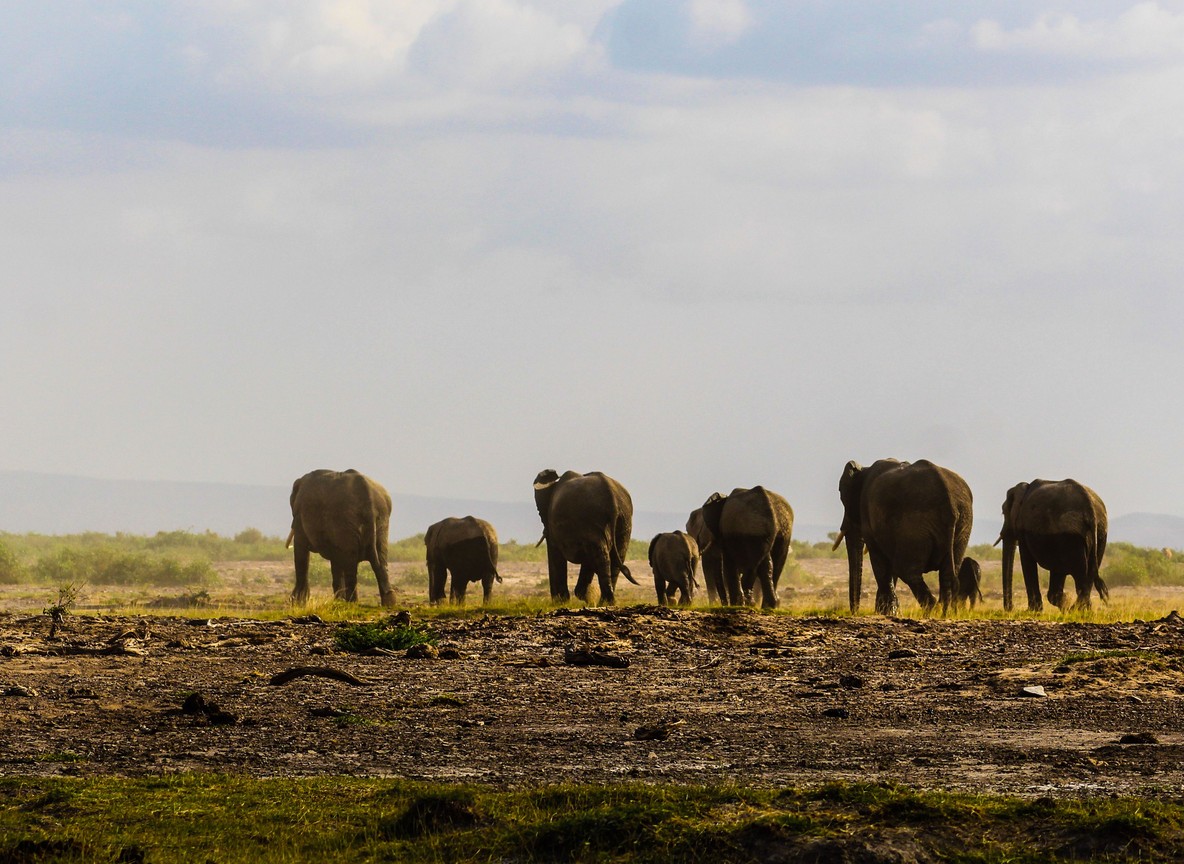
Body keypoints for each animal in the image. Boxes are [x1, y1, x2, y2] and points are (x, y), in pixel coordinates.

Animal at [286, 469, 395, 607]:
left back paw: (352, 602)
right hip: (381, 522)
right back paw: (389, 602)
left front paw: (297, 603)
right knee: (380, 558)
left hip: (346, 521)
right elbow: (336, 559)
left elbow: (301, 550)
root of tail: (369, 501)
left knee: (351, 563)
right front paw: (338, 600)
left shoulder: (299, 514)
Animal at [533, 469, 638, 604]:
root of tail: (613, 499)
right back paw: (606, 602)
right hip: (623, 519)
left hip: (594, 517)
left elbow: (556, 553)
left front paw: (561, 601)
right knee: (614, 556)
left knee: (601, 555)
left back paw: (604, 601)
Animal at [834, 459, 974, 615]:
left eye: (841, 494)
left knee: (907, 571)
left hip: (914, 524)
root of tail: (950, 505)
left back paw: (932, 610)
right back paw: (942, 613)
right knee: (947, 572)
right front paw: (888, 612)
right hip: (963, 523)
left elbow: (880, 562)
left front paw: (888, 612)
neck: (864, 469)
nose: (855, 612)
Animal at [997, 479, 1109, 611]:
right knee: (1087, 575)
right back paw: (1080, 610)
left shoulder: (1024, 529)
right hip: (1098, 535)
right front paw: (1064, 604)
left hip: (1071, 536)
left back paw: (1077, 610)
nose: (1011, 608)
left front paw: (1033, 611)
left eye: (1003, 512)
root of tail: (1090, 509)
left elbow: (1027, 561)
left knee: (1081, 577)